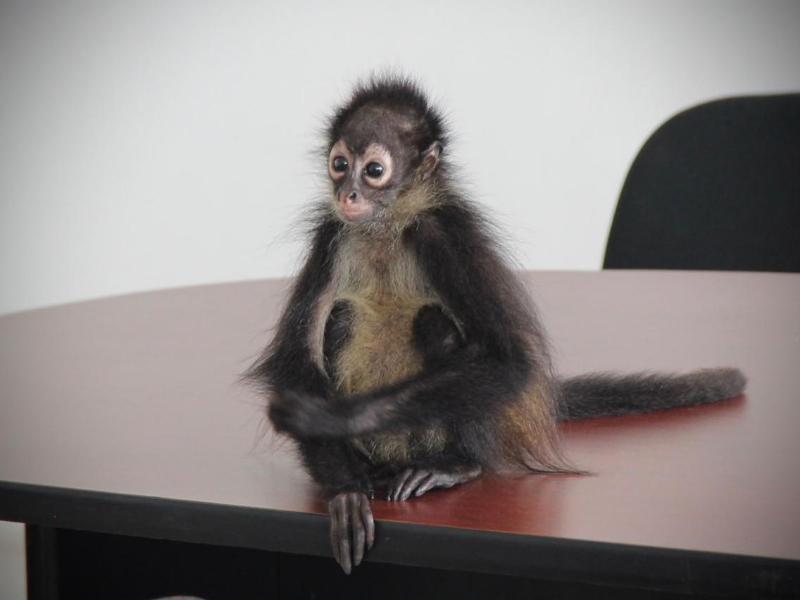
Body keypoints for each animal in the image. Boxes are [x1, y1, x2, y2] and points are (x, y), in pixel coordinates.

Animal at [247, 75, 746, 574]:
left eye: (373, 171)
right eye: (339, 165)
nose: (348, 194)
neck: (387, 229)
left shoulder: (443, 234)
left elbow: (511, 361)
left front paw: (333, 417)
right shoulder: (331, 235)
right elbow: (292, 361)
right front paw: (346, 489)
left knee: (434, 323)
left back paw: (456, 464)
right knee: (342, 316)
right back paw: (368, 469)